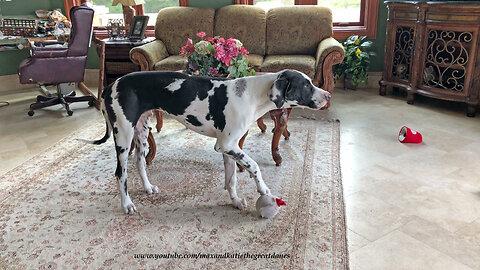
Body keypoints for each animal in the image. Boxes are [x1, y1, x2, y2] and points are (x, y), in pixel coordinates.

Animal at [80, 70, 332, 215]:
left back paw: (148, 188)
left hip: (141, 132)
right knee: (120, 173)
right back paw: (127, 205)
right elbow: (255, 167)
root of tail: (110, 85)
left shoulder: (229, 148)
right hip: (123, 135)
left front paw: (236, 201)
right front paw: (262, 189)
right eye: (306, 84)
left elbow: (231, 179)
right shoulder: (227, 146)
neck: (251, 95)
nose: (328, 95)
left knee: (139, 162)